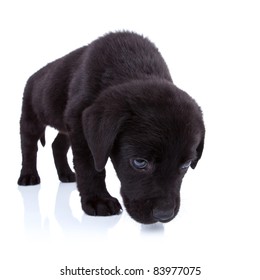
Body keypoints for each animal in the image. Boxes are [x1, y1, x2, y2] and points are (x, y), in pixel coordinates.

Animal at [18, 31, 205, 223]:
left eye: (186, 164)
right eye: (139, 162)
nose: (164, 214)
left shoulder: (74, 123)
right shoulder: (79, 123)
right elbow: (90, 166)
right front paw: (98, 200)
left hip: (65, 126)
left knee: (58, 145)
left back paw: (66, 174)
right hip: (31, 118)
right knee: (29, 146)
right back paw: (28, 176)